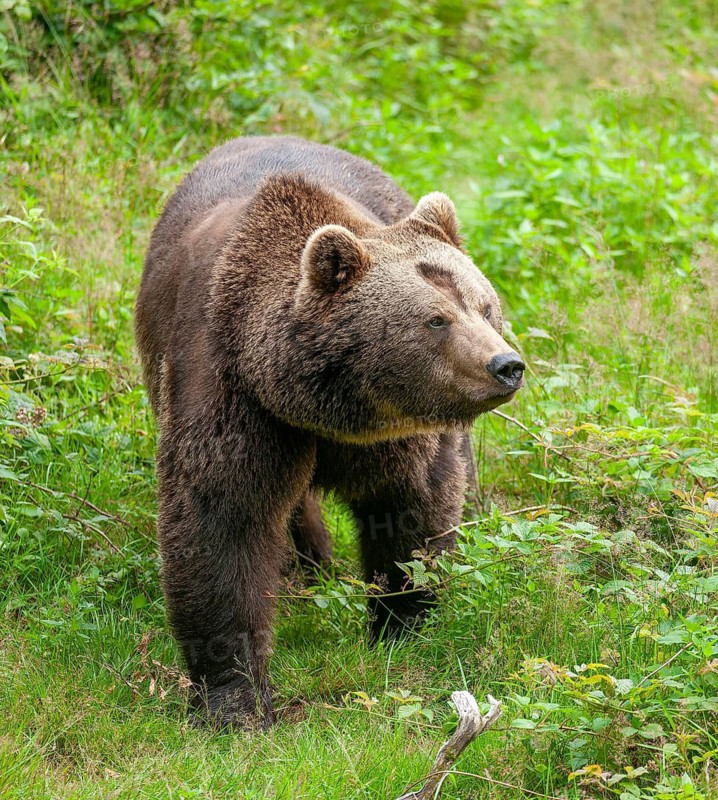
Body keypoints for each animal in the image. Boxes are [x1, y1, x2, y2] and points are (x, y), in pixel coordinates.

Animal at [135, 135, 524, 729]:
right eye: (436, 319)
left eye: (485, 305)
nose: (505, 365)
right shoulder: (229, 389)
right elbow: (221, 518)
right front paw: (235, 700)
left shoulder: (397, 431)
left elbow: (411, 508)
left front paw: (402, 625)